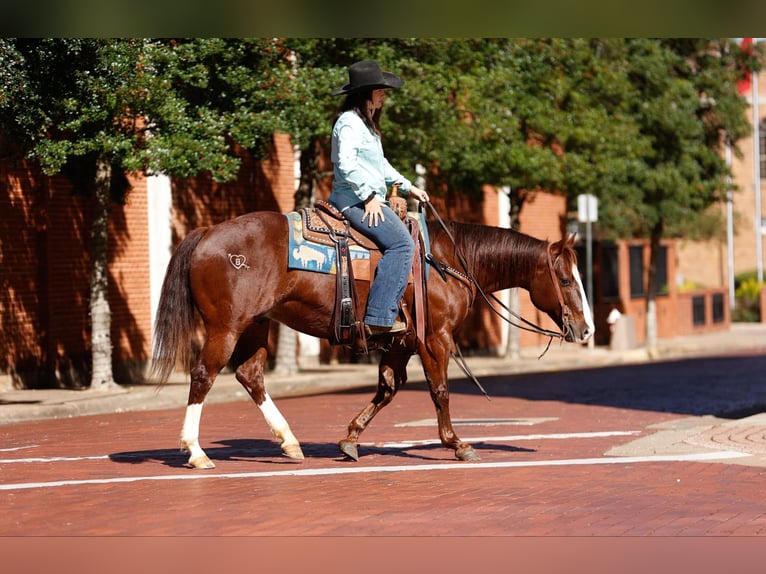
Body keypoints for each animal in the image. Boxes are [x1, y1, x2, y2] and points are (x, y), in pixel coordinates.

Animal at [150, 208, 594, 469]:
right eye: (566, 279)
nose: (586, 328)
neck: (446, 261)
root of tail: (208, 232)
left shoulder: (400, 344)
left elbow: (387, 390)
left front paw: (350, 439)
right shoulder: (435, 339)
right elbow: (440, 391)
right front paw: (456, 443)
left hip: (257, 323)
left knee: (250, 375)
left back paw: (289, 442)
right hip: (226, 326)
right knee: (204, 375)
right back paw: (196, 451)